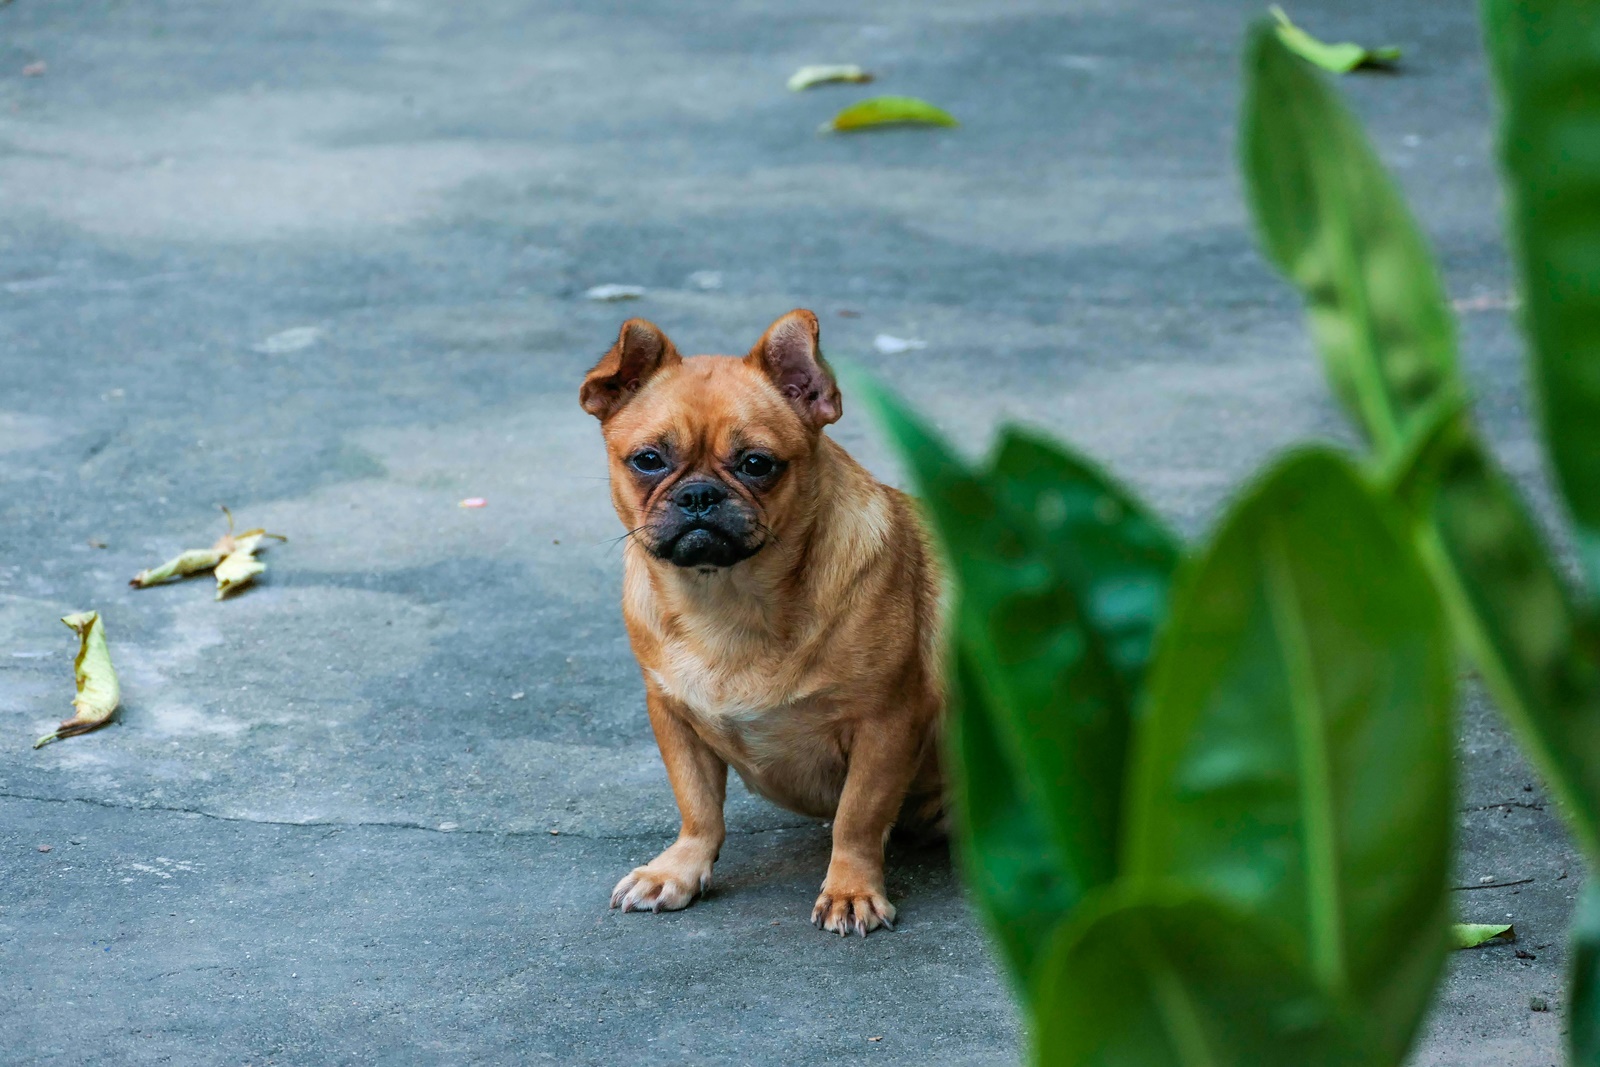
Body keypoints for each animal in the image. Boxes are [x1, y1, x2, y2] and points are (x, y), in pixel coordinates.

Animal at [579, 307, 940, 934]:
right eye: (648, 460)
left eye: (756, 465)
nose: (699, 494)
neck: (727, 599)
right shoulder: (671, 714)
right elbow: (698, 806)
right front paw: (678, 869)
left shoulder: (887, 723)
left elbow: (859, 816)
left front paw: (850, 888)